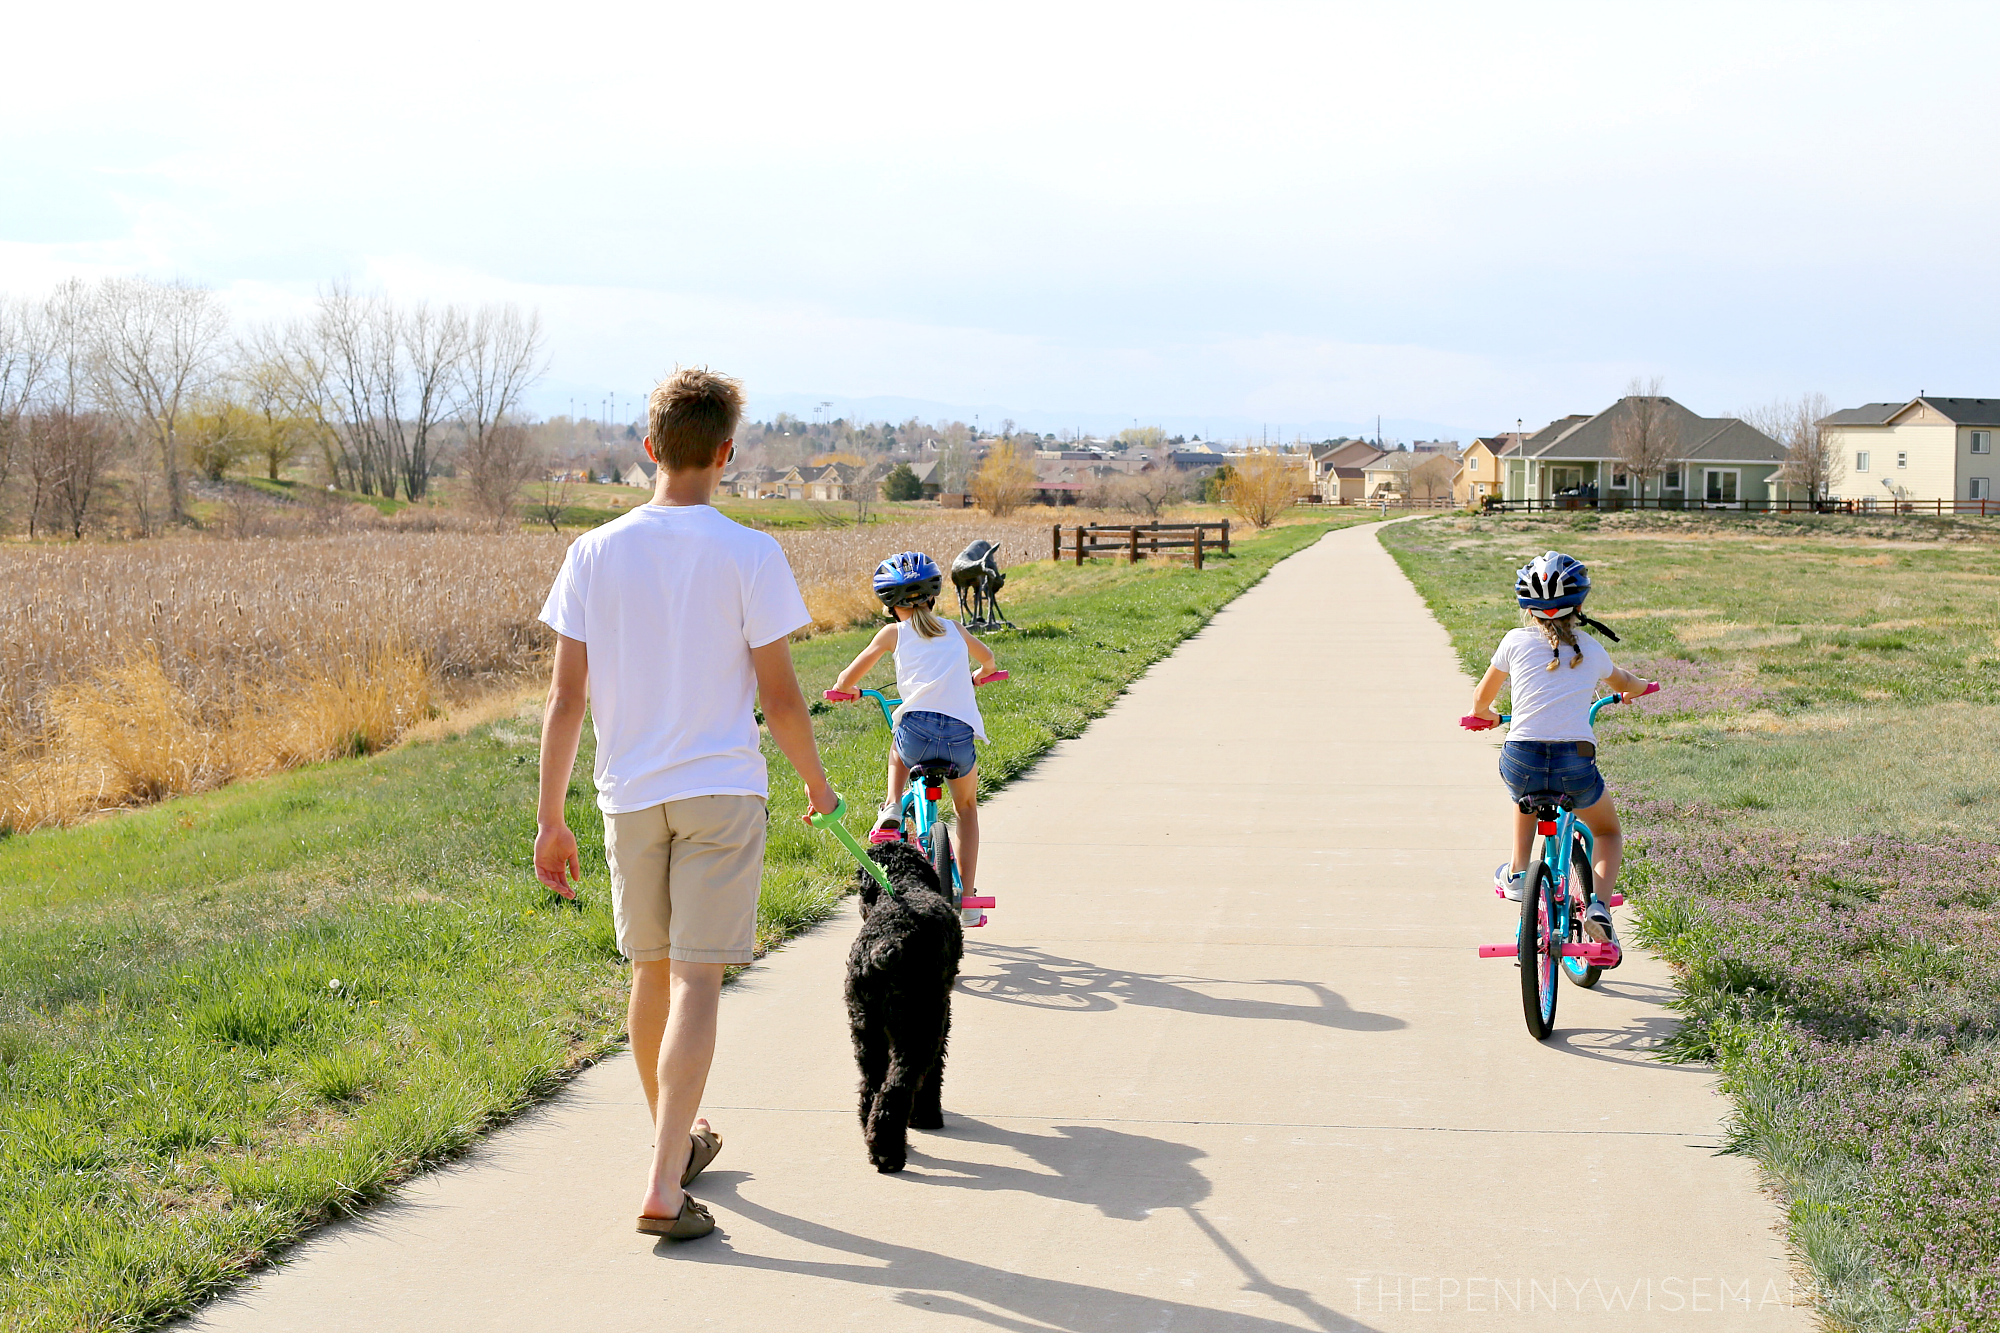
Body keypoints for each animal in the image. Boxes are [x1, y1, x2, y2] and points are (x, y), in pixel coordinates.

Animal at [848, 836, 964, 1168]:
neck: (904, 885)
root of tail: (888, 946)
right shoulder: (941, 1019)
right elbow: (935, 1072)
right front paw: (927, 1115)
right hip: (918, 1027)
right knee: (896, 1088)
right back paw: (889, 1152)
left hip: (866, 1030)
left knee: (872, 1086)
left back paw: (872, 1138)